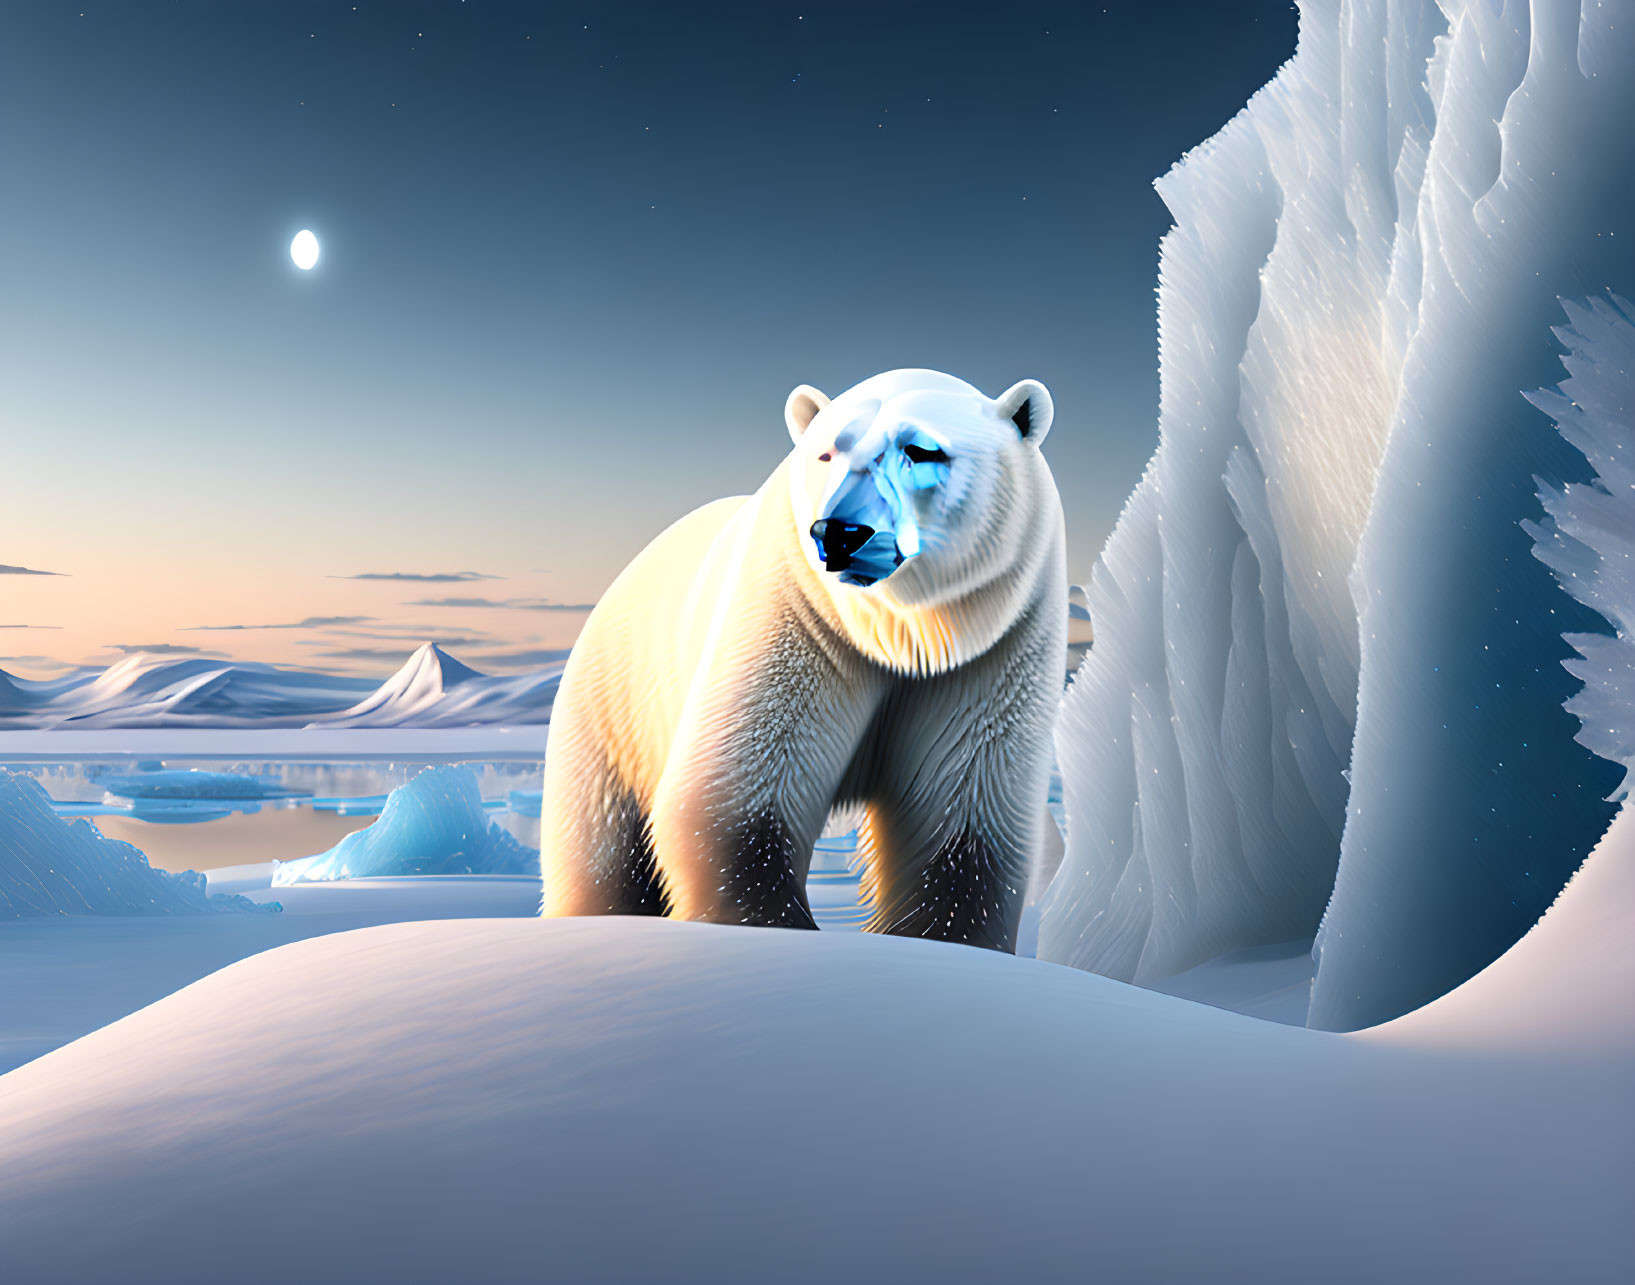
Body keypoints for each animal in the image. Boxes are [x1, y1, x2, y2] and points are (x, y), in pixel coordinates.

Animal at [542, 366, 1066, 948]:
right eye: (827, 453)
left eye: (921, 450)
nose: (839, 533)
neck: (898, 636)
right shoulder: (795, 619)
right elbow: (738, 792)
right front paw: (773, 927)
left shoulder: (993, 651)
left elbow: (963, 817)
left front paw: (945, 941)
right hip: (616, 705)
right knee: (601, 839)